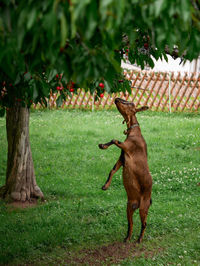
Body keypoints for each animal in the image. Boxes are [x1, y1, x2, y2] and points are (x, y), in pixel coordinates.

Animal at [99, 97, 153, 243]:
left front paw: (103, 145)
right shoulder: (122, 159)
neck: (134, 133)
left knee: (144, 223)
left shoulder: (127, 147)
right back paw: (127, 238)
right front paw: (105, 186)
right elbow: (112, 170)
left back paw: (139, 239)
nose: (117, 99)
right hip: (129, 207)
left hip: (143, 207)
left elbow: (114, 139)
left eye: (130, 103)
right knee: (131, 223)